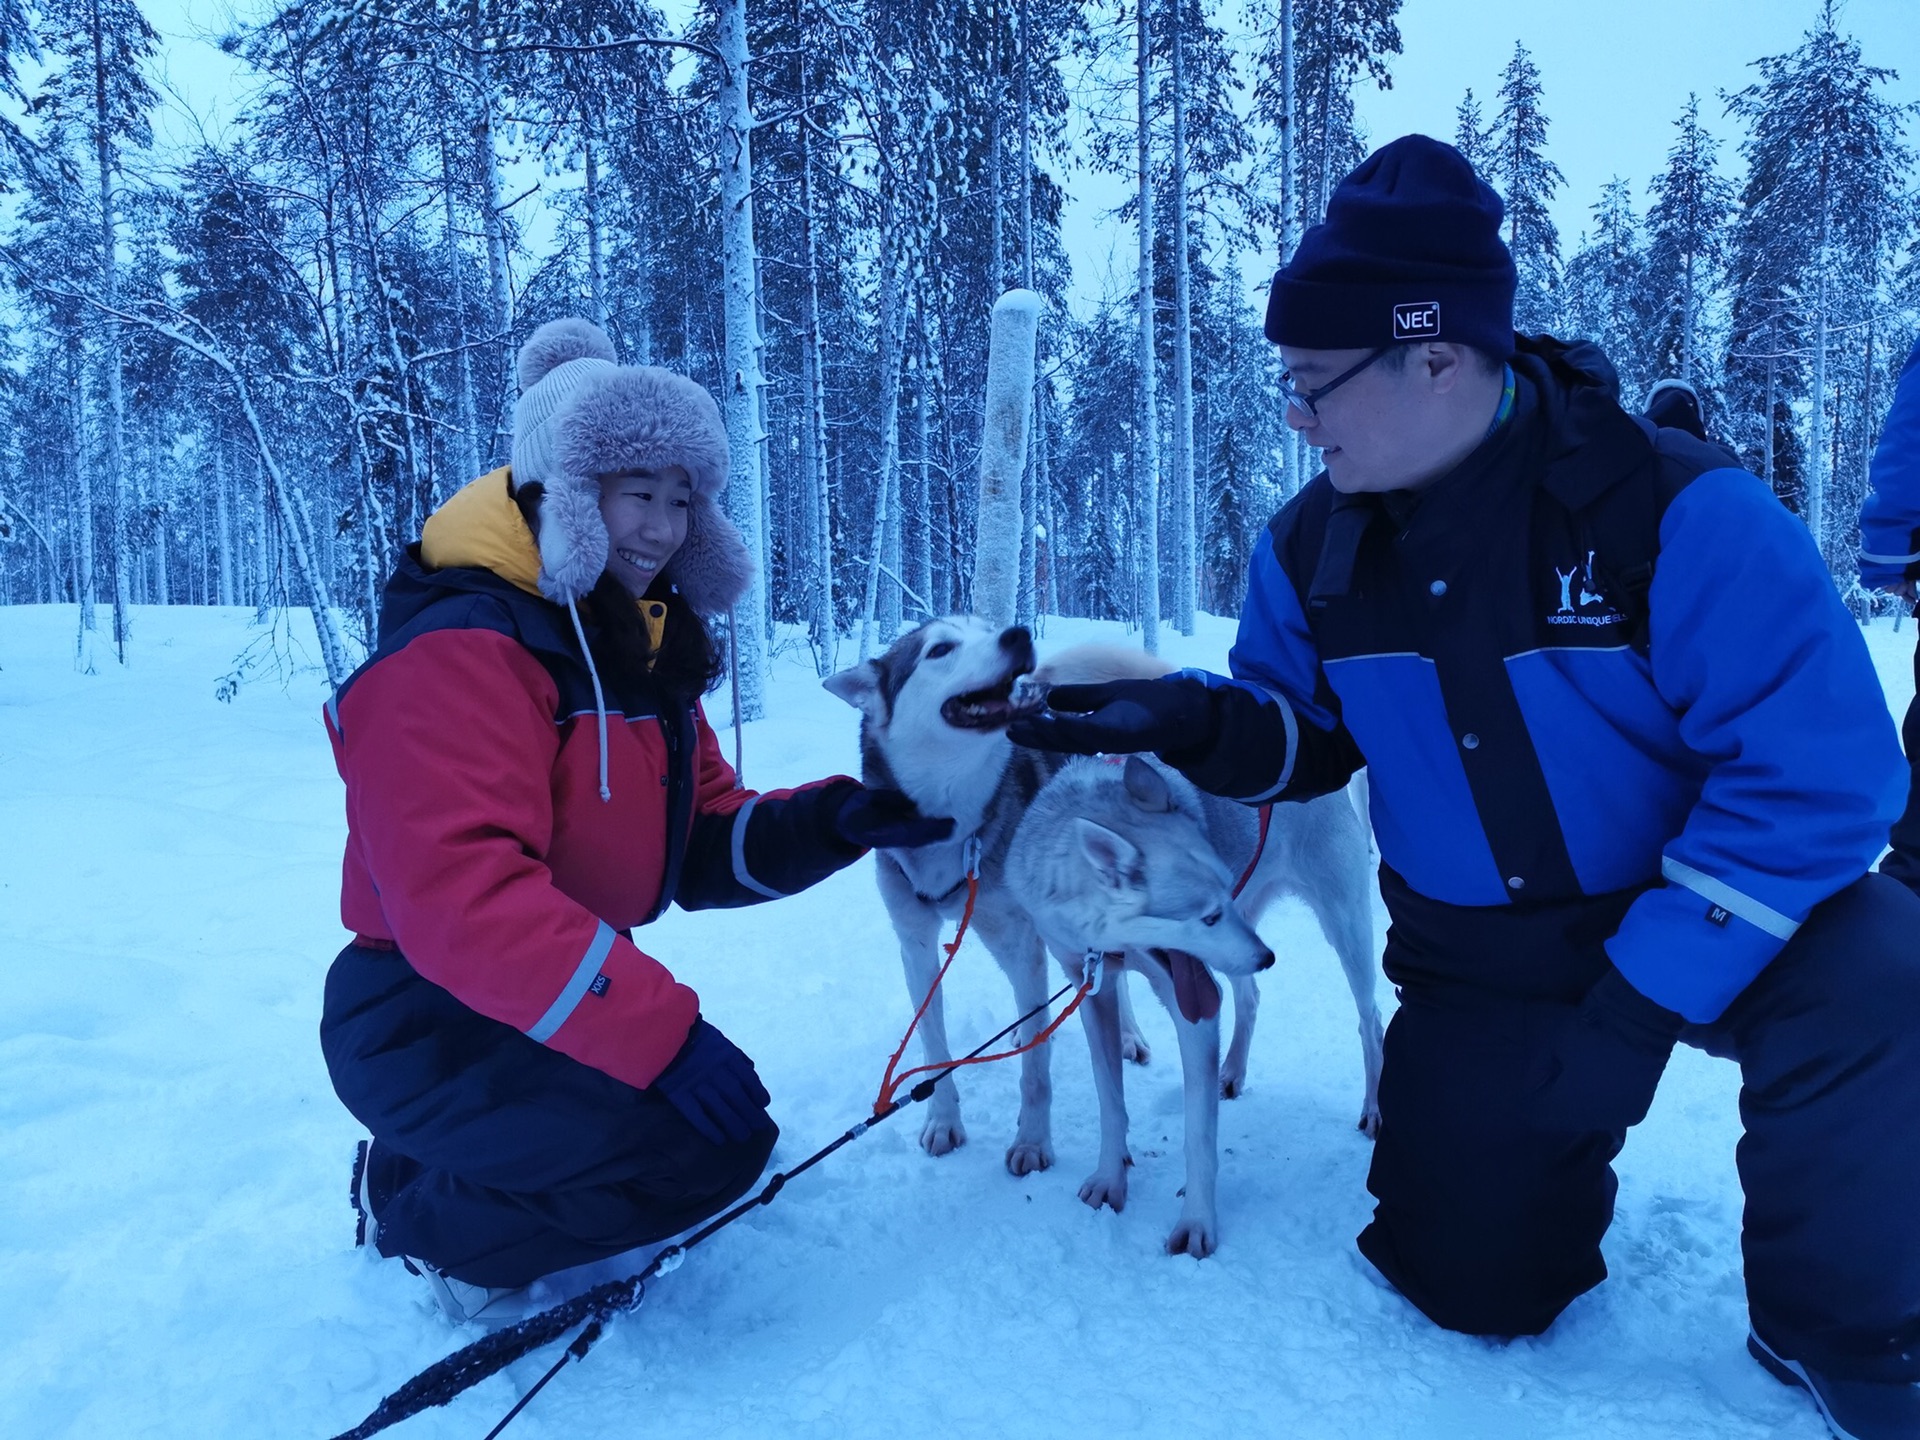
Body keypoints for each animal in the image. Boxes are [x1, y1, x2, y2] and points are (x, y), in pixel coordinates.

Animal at [825, 622, 1382, 1251]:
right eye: (939, 648)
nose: (1016, 634)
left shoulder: (1166, 996)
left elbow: (1192, 1133)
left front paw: (1195, 1222)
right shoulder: (985, 959)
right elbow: (1099, 1098)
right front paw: (1108, 1178)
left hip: (1341, 923)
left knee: (1367, 1017)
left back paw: (1371, 1105)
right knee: (1249, 994)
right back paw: (1229, 1068)